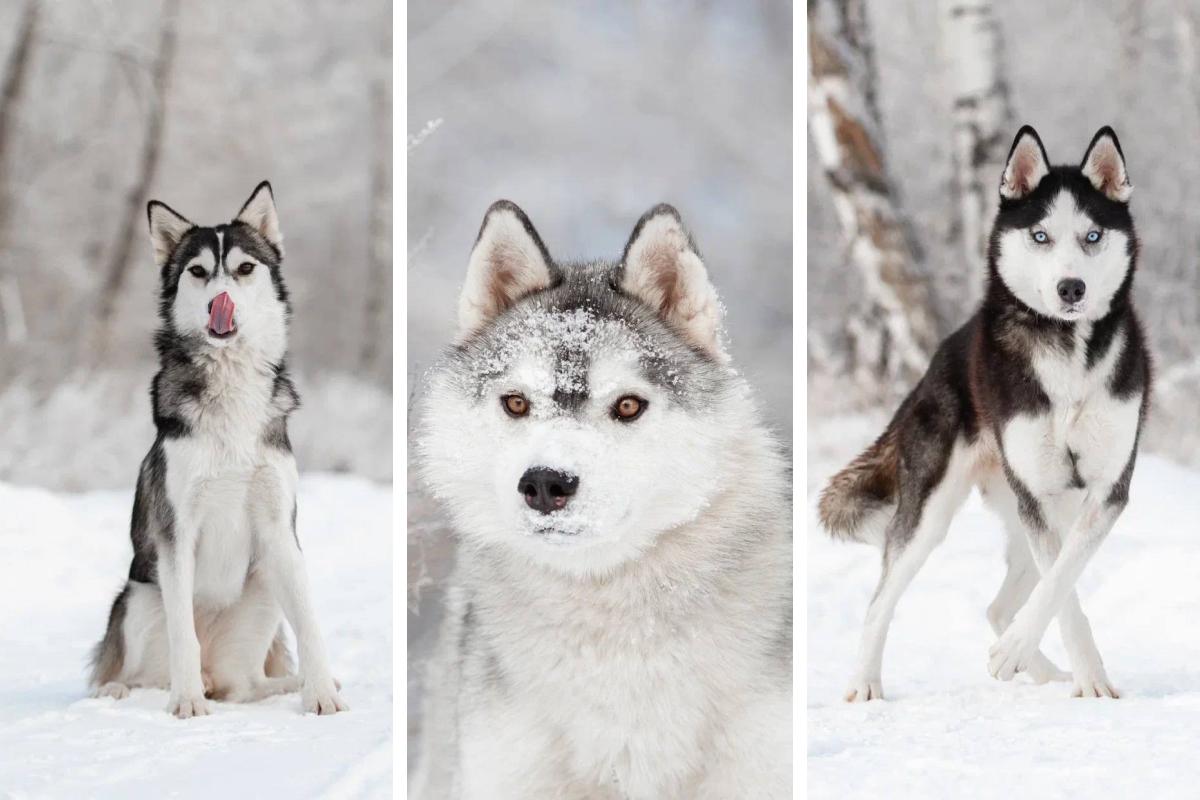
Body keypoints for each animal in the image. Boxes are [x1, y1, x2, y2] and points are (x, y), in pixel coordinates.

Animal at [85, 183, 343, 719]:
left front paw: (322, 693)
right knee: (138, 674)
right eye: (198, 272)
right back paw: (123, 690)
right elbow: (183, 634)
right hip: (139, 596)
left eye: (244, 268)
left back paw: (283, 685)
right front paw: (186, 702)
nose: (217, 303)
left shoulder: (280, 529)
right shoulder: (175, 531)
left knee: (242, 685)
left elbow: (309, 621)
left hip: (263, 586)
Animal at [820, 125, 1147, 700]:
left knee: (999, 607)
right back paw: (865, 684)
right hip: (931, 514)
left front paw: (1065, 670)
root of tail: (936, 363)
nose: (1071, 288)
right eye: (1040, 236)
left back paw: (1032, 665)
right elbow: (1062, 591)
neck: (1067, 351)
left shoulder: (1106, 490)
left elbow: (1062, 578)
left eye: (1092, 236)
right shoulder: (1039, 494)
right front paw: (1087, 679)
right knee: (881, 600)